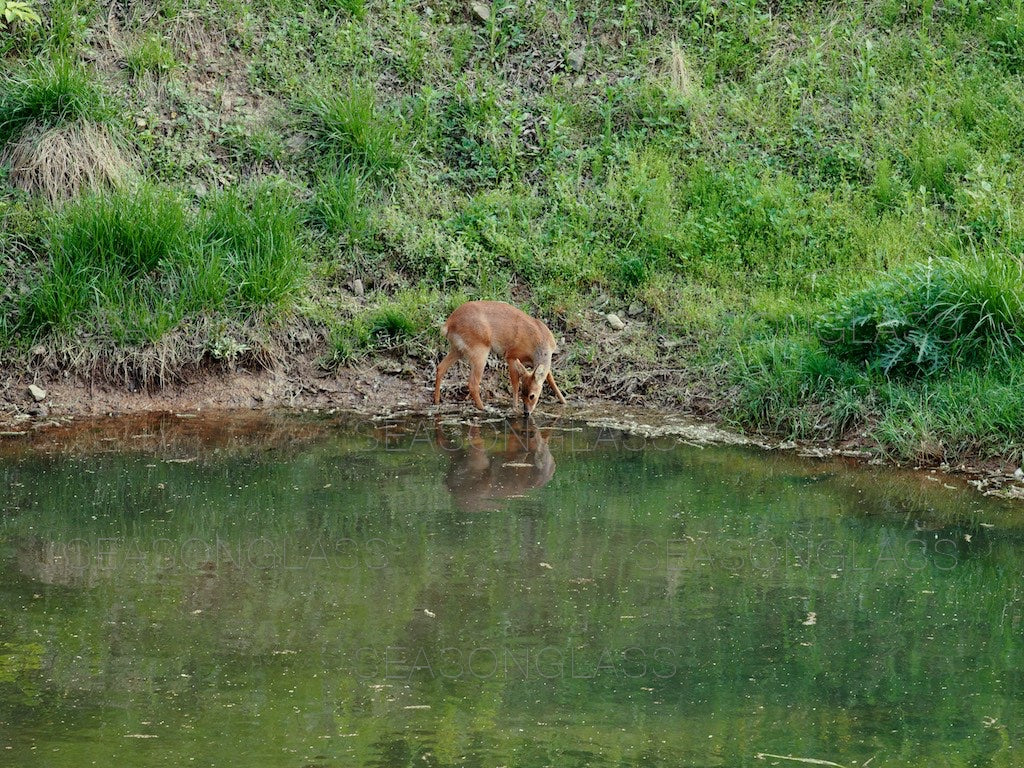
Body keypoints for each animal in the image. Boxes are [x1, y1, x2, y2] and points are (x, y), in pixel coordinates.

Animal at [432, 303, 569, 421]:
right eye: (525, 394)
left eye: (531, 395)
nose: (526, 413)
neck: (539, 342)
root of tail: (448, 325)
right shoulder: (511, 356)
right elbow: (515, 384)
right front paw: (515, 407)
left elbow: (550, 378)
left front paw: (564, 401)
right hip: (479, 350)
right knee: (473, 383)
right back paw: (483, 408)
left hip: (457, 349)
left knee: (440, 367)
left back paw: (437, 401)